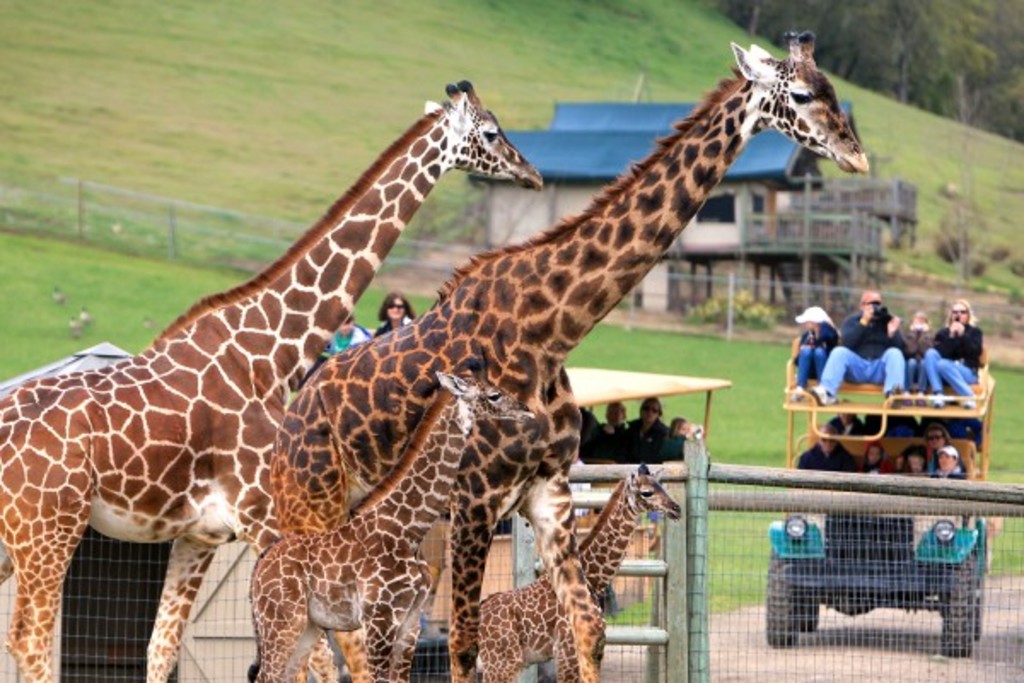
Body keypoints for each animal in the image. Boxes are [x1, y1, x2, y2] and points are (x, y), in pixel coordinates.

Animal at [250, 374, 532, 683]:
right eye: (494, 395)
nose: (527, 411)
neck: (410, 529)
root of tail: (259, 567)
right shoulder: (380, 619)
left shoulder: (410, 622)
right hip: (282, 621)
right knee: (267, 676)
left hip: (306, 626)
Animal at [475, 464, 684, 683]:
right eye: (647, 492)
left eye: (662, 486)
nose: (676, 509)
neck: (593, 579)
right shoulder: (568, 650)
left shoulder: (594, 648)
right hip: (502, 665)